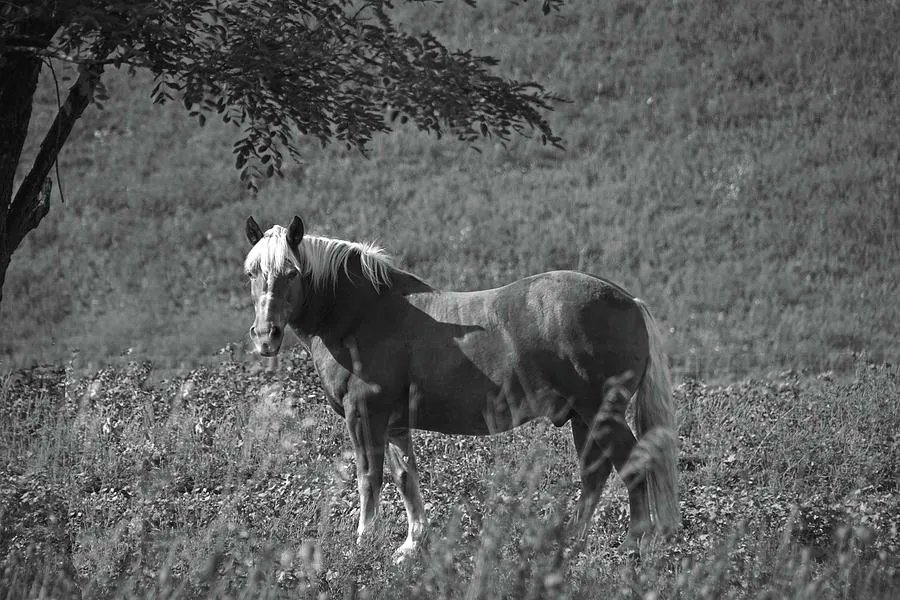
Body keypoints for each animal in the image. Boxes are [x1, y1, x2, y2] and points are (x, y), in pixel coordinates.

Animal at [243, 217, 680, 564]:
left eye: (292, 272)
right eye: (252, 272)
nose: (266, 336)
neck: (363, 314)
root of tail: (629, 301)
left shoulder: (364, 415)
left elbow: (370, 477)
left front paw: (364, 542)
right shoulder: (394, 423)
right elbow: (406, 477)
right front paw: (411, 545)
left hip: (600, 413)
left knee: (632, 464)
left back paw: (633, 544)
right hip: (581, 417)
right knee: (595, 473)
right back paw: (572, 544)